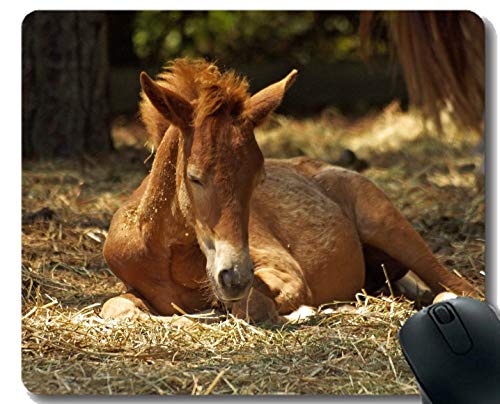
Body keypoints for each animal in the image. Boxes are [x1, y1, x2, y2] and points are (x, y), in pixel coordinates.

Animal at [101, 58, 476, 324]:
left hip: (389, 226)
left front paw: (303, 311)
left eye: (258, 178)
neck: (165, 253)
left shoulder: (284, 271)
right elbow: (116, 308)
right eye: (194, 177)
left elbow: (255, 306)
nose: (234, 277)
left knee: (458, 285)